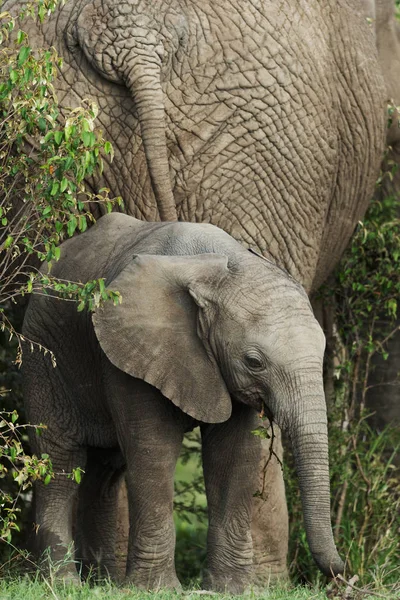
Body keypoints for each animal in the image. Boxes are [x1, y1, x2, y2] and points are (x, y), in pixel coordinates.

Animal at [21, 212, 342, 592]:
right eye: (254, 361)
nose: (339, 572)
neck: (216, 271)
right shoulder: (134, 348)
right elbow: (153, 450)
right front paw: (155, 589)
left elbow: (233, 457)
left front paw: (230, 589)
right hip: (43, 355)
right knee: (60, 465)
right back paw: (65, 583)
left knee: (105, 471)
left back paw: (105, 582)